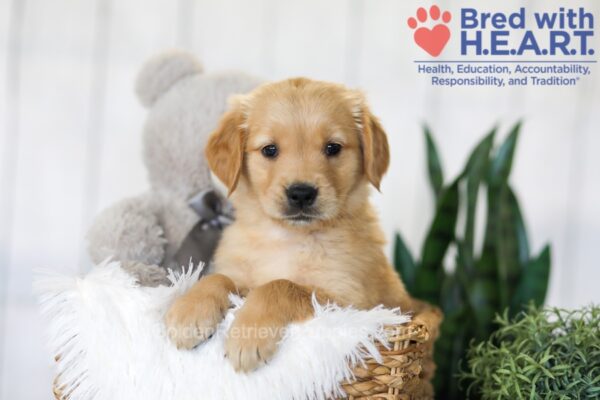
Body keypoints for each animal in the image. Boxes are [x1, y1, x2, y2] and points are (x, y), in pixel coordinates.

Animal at [166, 77, 414, 372]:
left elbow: (280, 285)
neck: (288, 236)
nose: (301, 193)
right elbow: (218, 277)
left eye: (333, 148)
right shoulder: (239, 273)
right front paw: (189, 311)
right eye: (269, 150)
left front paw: (249, 334)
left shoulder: (349, 301)